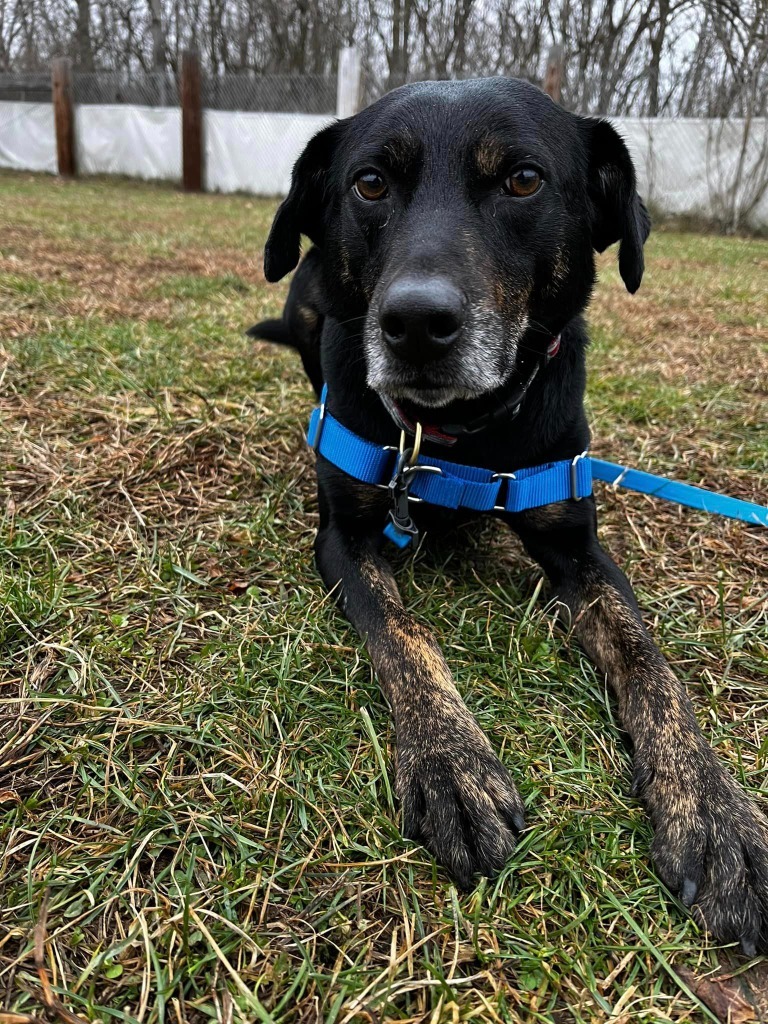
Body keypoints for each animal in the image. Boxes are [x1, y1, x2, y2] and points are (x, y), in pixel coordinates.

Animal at [249, 77, 765, 950]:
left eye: (523, 180)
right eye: (370, 183)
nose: (415, 324)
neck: (462, 432)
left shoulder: (578, 545)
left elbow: (651, 665)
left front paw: (712, 808)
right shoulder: (346, 539)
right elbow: (404, 636)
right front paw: (451, 765)